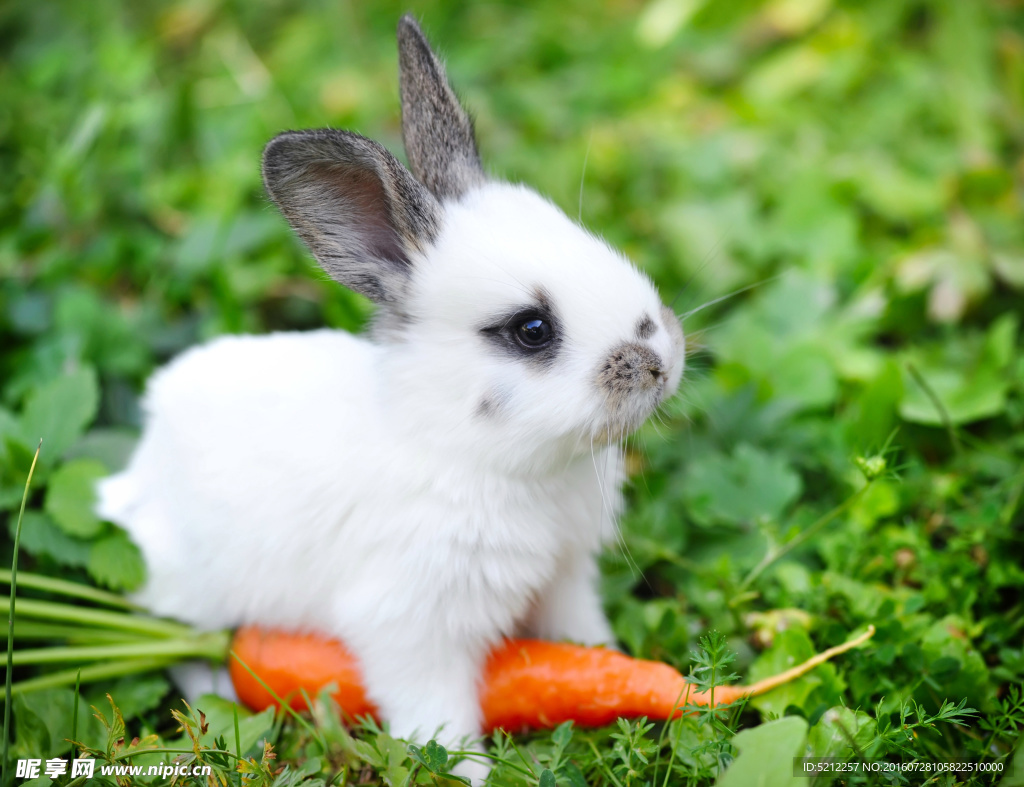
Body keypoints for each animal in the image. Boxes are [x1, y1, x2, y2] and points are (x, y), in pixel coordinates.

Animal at [97, 13, 688, 777]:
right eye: (531, 329)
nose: (660, 359)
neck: (476, 453)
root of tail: (137, 475)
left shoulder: (564, 579)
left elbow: (581, 643)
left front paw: (615, 668)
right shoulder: (413, 629)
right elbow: (440, 718)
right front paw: (470, 776)